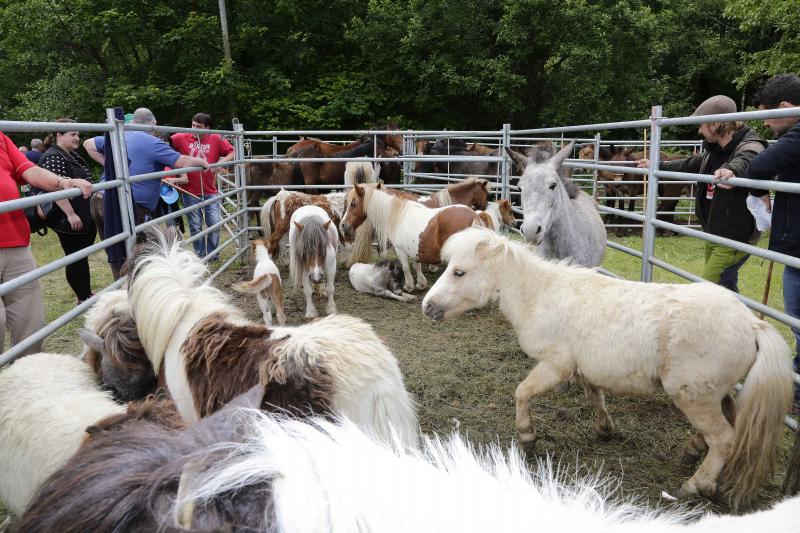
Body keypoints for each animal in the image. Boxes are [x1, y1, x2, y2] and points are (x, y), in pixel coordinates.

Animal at [422, 225, 796, 508]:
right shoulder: (585, 368)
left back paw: (695, 485)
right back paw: (693, 453)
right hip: (713, 393)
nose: (427, 307)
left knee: (724, 439)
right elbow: (594, 396)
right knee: (727, 420)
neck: (541, 295)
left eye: (459, 272)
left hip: (694, 397)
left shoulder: (555, 365)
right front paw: (604, 430)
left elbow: (522, 393)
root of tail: (752, 323)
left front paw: (527, 437)